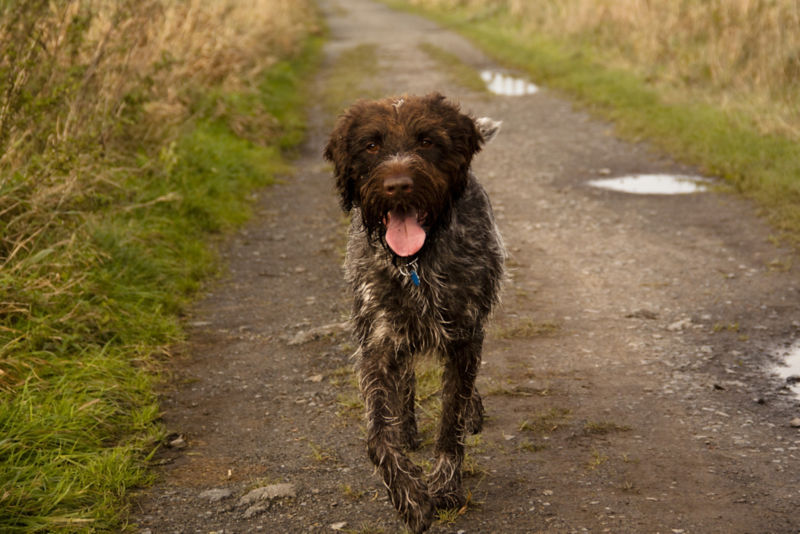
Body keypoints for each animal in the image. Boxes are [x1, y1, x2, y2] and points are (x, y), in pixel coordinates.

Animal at [324, 94, 500, 532]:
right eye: (371, 145)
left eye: (427, 141)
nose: (399, 185)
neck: (417, 263)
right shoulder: (376, 343)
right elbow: (376, 436)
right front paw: (409, 497)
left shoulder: (465, 338)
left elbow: (451, 420)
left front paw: (445, 487)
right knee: (404, 382)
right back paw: (405, 427)